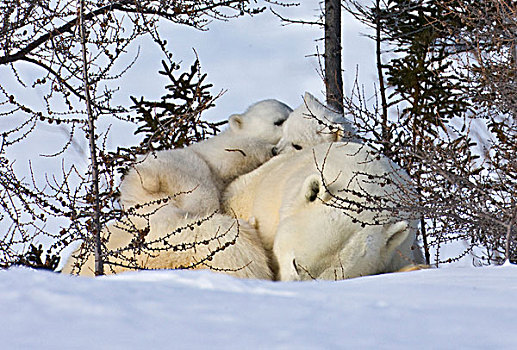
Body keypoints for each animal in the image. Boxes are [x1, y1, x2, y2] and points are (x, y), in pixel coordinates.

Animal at [118, 98, 292, 227]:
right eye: (279, 121)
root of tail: (143, 176)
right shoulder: (220, 152)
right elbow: (238, 154)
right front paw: (271, 149)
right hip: (187, 171)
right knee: (203, 199)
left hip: (142, 201)